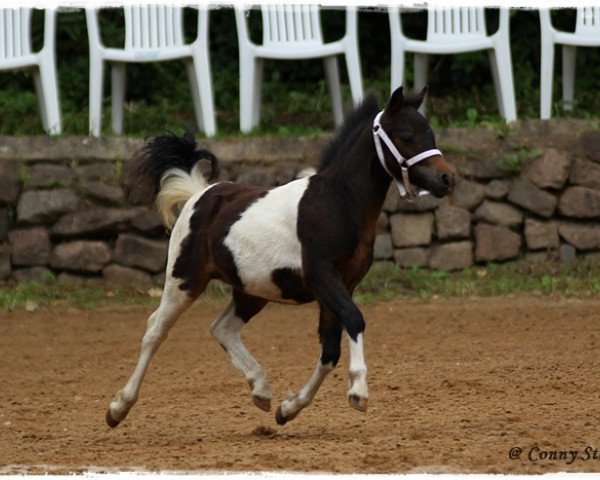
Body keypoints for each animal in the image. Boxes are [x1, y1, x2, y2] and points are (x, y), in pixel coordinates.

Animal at [106, 86, 454, 428]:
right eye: (407, 136)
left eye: (431, 133)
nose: (447, 180)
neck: (337, 202)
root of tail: (199, 195)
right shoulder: (322, 276)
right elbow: (354, 319)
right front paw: (358, 391)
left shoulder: (341, 285)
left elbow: (329, 351)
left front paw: (287, 409)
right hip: (185, 279)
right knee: (155, 331)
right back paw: (118, 408)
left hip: (252, 291)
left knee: (222, 328)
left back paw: (261, 390)